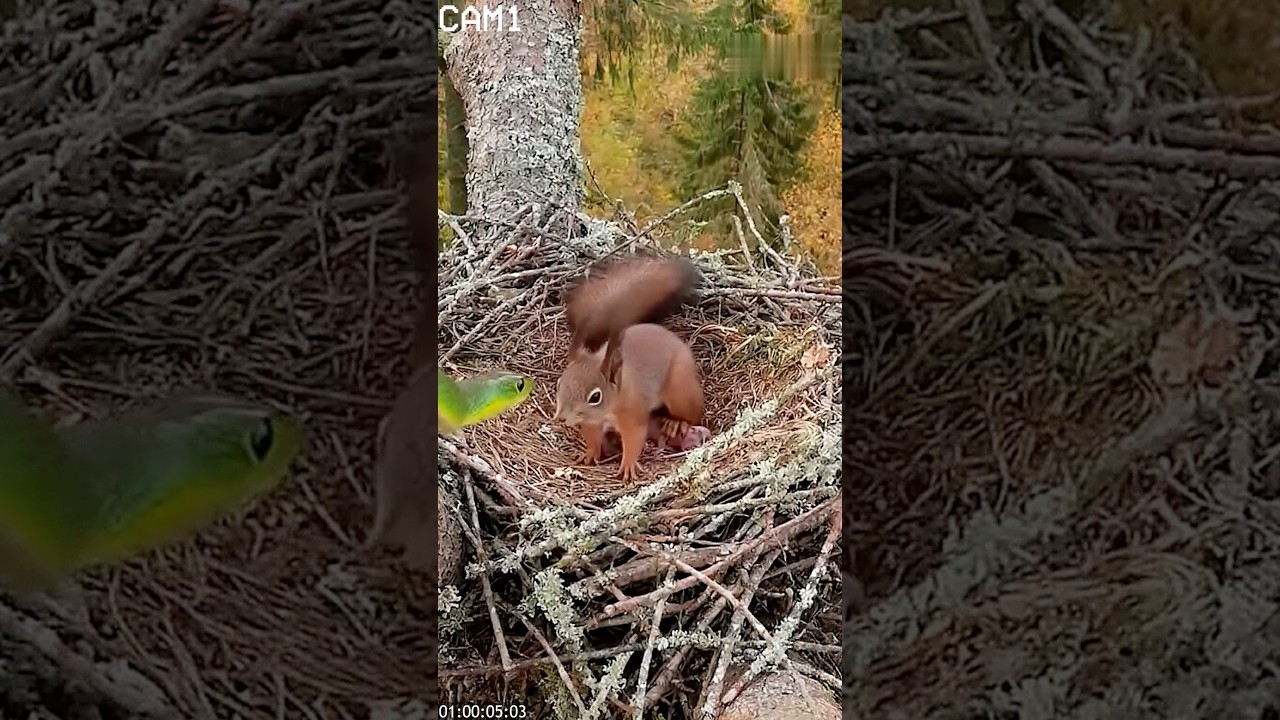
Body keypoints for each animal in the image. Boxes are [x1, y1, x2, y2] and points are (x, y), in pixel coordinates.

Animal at [553, 254, 709, 481]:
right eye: (559, 385)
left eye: (595, 397)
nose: (562, 417)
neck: (610, 406)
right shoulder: (591, 422)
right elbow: (592, 437)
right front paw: (590, 453)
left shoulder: (632, 413)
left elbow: (634, 439)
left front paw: (627, 465)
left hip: (679, 390)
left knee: (694, 413)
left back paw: (677, 422)